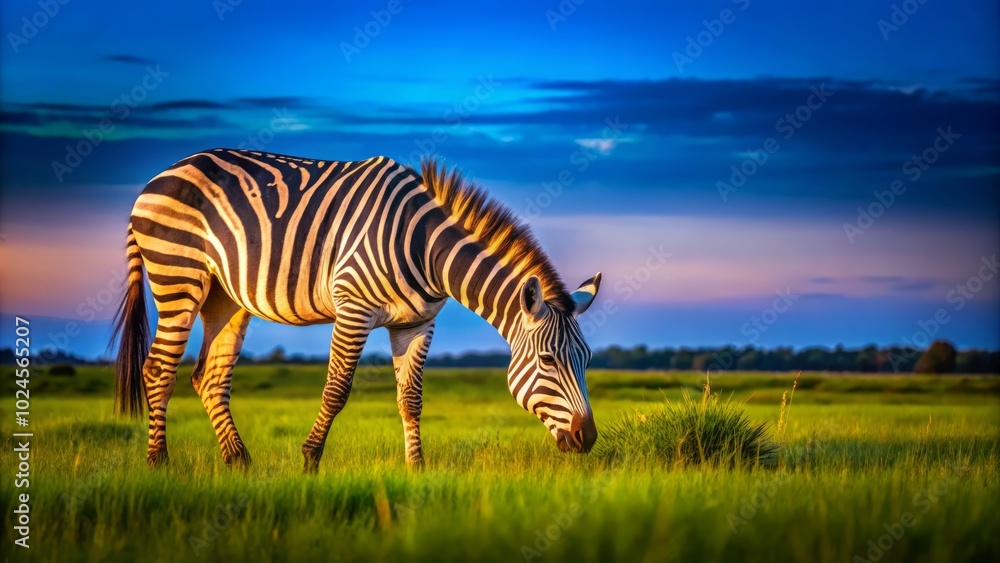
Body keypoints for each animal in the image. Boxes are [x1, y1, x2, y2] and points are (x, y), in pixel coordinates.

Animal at [112, 149, 602, 470]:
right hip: (178, 277)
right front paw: (310, 460)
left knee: (209, 376)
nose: (588, 438)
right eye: (547, 360)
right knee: (158, 369)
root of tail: (160, 176)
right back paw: (159, 462)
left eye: (587, 360)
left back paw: (239, 460)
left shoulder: (417, 324)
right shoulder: (354, 307)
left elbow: (411, 398)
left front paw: (416, 468)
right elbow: (336, 390)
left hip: (224, 296)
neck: (426, 248)